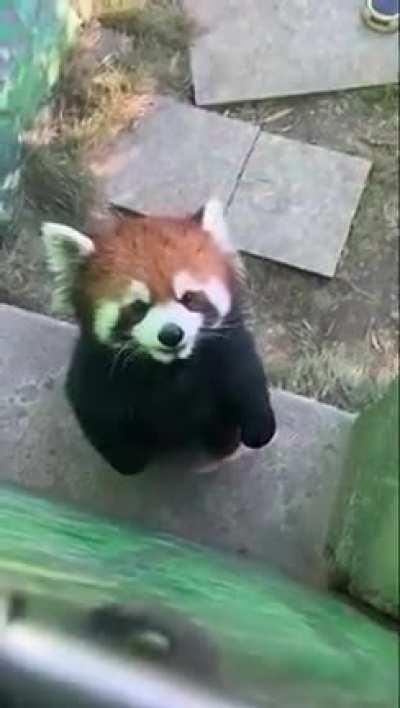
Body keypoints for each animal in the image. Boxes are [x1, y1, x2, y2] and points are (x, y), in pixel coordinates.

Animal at [42, 199, 276, 475]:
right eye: (138, 307)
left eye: (189, 298)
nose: (171, 334)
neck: (170, 369)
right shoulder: (98, 369)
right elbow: (95, 412)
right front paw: (127, 458)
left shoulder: (228, 348)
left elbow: (247, 380)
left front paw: (259, 427)